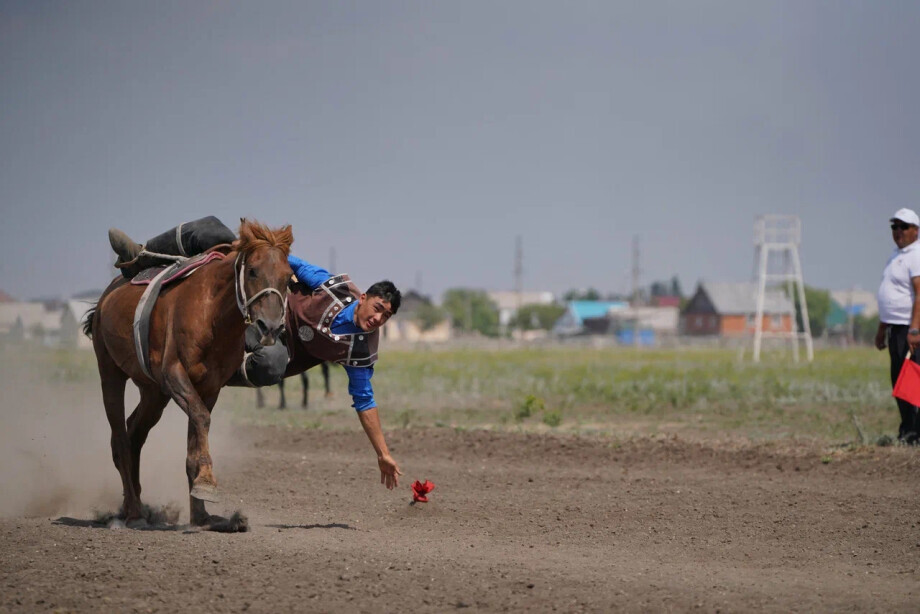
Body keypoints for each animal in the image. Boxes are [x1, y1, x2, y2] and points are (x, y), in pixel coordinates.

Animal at [83, 220, 292, 528]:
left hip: (153, 393)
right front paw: (207, 484)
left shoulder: (209, 388)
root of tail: (104, 300)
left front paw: (202, 515)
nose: (271, 327)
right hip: (110, 373)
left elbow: (195, 437)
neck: (213, 313)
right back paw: (134, 513)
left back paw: (135, 504)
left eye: (288, 278)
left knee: (134, 434)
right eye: (253, 270)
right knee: (120, 439)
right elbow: (201, 419)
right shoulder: (174, 375)